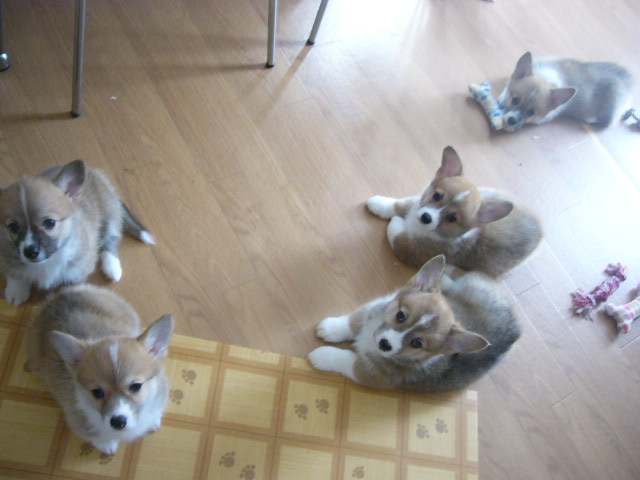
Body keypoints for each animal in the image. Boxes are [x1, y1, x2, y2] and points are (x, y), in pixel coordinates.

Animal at [0, 159, 154, 305]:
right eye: (13, 227)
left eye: (49, 223)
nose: (30, 252)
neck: (49, 261)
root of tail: (96, 174)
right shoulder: (6, 256)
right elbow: (15, 274)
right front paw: (16, 291)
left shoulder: (79, 268)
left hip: (109, 217)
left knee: (110, 240)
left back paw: (112, 268)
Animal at [26, 284, 174, 455]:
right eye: (97, 393)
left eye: (136, 386)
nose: (118, 422)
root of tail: (61, 294)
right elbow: (97, 437)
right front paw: (107, 445)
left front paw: (153, 420)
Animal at [308, 255, 521, 392]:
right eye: (401, 316)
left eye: (417, 343)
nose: (385, 344)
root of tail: (516, 325)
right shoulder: (373, 309)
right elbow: (353, 321)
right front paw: (331, 328)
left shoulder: (370, 374)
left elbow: (343, 358)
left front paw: (321, 355)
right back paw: (445, 275)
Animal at [366, 146, 542, 277]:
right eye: (437, 196)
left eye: (452, 218)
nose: (426, 217)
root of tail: (541, 231)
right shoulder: (418, 204)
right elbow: (401, 204)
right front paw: (378, 204)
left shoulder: (415, 251)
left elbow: (397, 236)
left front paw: (396, 220)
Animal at [498, 51, 633, 131]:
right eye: (515, 100)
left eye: (531, 112)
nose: (512, 120)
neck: (547, 79)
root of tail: (628, 81)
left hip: (609, 111)